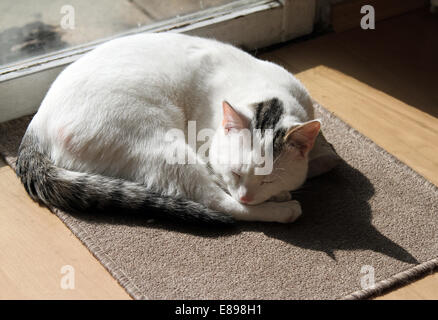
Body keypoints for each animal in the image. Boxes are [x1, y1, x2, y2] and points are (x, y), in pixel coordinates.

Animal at [16, 32, 338, 225]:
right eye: (236, 172)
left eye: (268, 179)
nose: (247, 195)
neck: (268, 96)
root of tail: (35, 126)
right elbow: (222, 186)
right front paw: (279, 197)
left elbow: (327, 157)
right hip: (162, 147)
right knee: (217, 202)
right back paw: (282, 209)